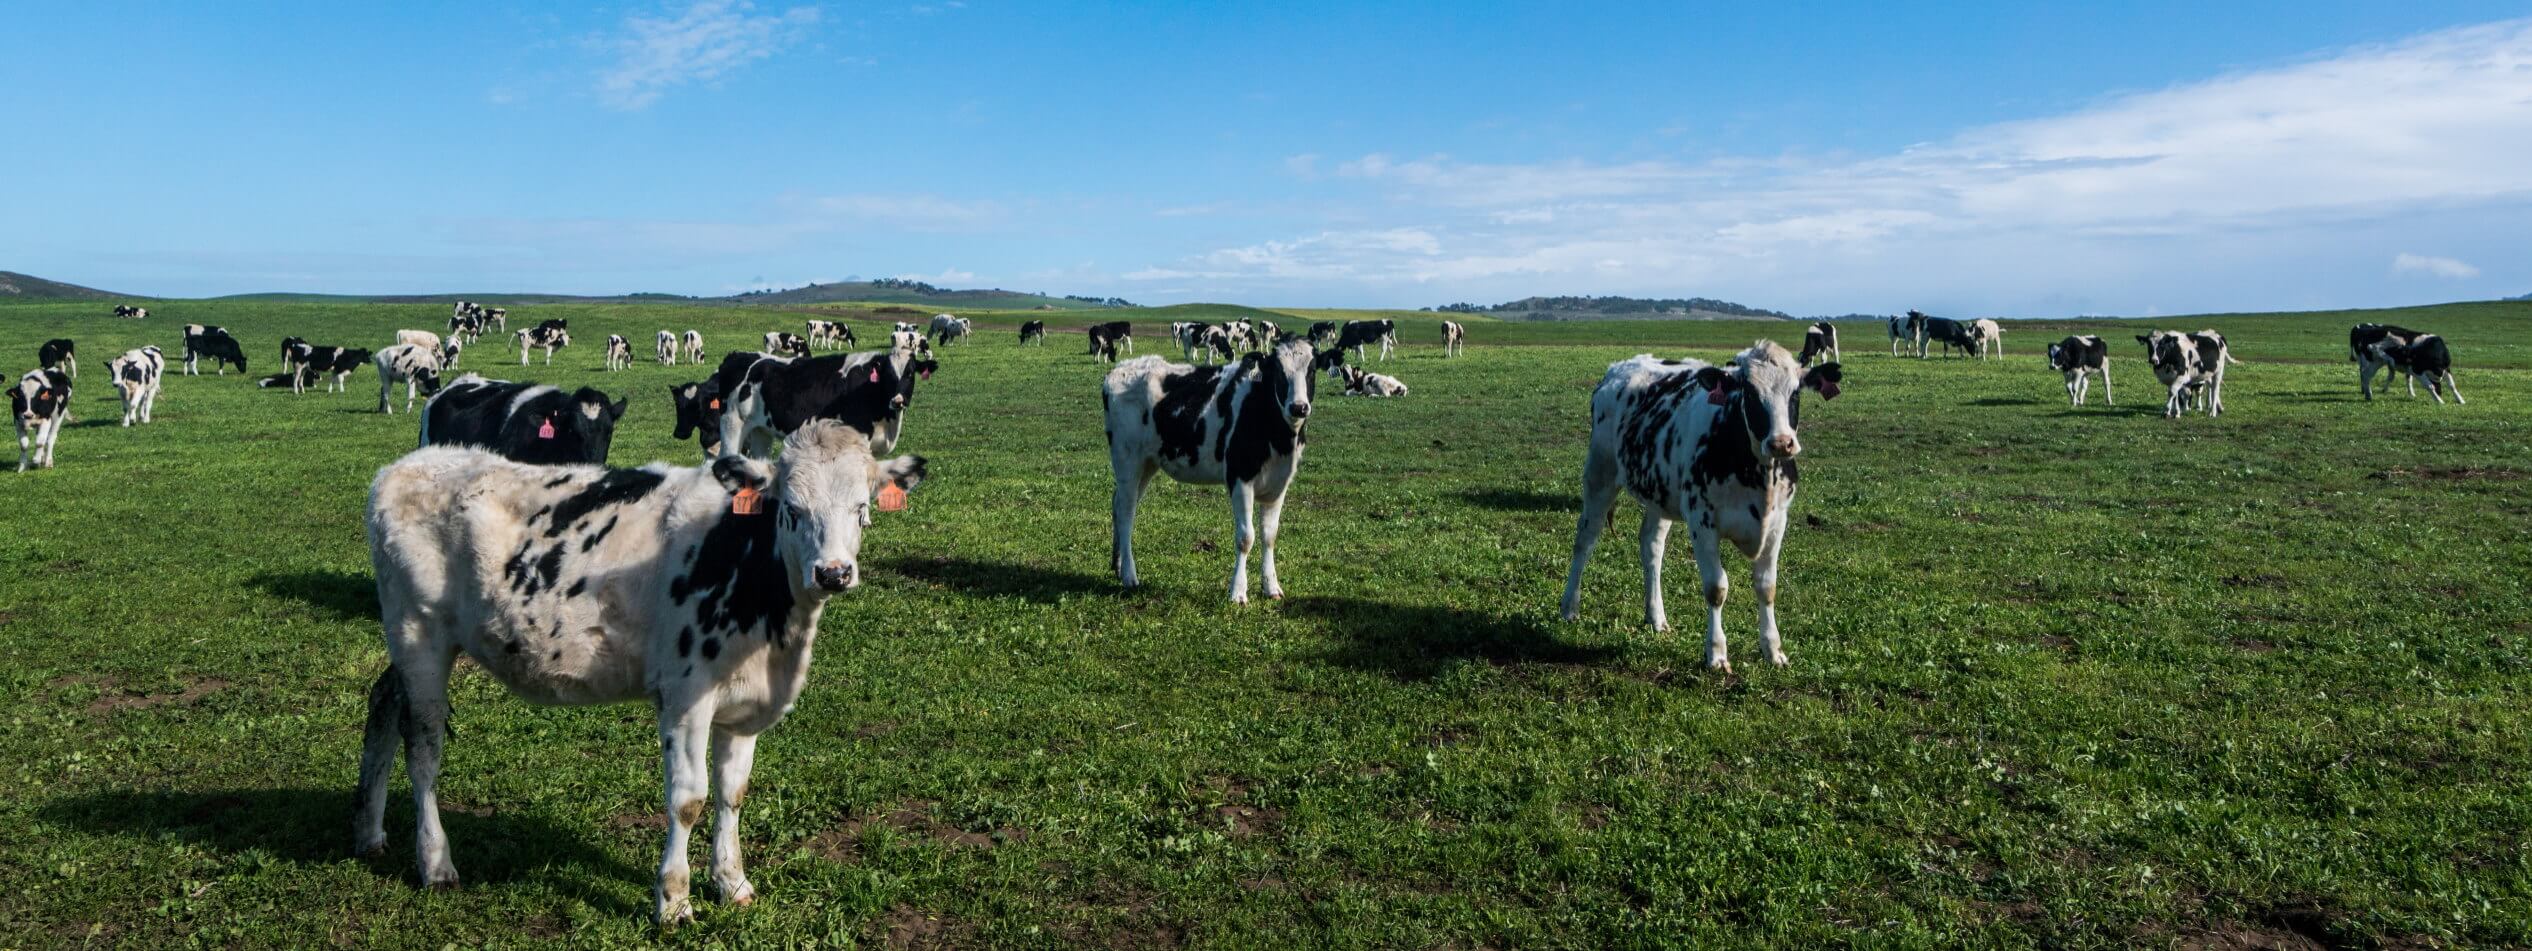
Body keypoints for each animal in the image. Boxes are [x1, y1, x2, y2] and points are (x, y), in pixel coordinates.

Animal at [357, 422, 931, 920]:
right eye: (790, 508)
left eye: (862, 508)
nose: (833, 573)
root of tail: (406, 466)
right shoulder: (685, 697)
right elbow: (688, 799)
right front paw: (674, 902)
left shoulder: (746, 706)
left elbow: (733, 793)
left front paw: (733, 882)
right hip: (419, 635)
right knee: (423, 747)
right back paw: (435, 862)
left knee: (383, 703)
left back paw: (369, 833)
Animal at [1098, 333, 1316, 601]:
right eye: (1278, 370)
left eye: (1312, 369)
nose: (1298, 407)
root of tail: (1118, 370)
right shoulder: (1239, 477)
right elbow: (1246, 537)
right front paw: (1238, 591)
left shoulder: (1279, 483)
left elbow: (1269, 536)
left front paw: (1271, 587)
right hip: (1127, 458)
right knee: (1126, 511)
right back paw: (1129, 575)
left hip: (1147, 463)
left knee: (1118, 503)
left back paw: (1117, 565)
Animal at [1549, 341, 1853, 667]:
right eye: (1749, 393)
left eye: (1795, 393)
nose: (1781, 443)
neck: (1758, 475)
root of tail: (1619, 367)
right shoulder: (1702, 520)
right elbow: (1716, 588)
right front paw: (1716, 653)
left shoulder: (1777, 521)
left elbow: (1766, 586)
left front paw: (1773, 650)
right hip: (1600, 473)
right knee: (1586, 538)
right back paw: (1569, 606)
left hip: (1660, 493)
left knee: (1651, 546)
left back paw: (1656, 616)